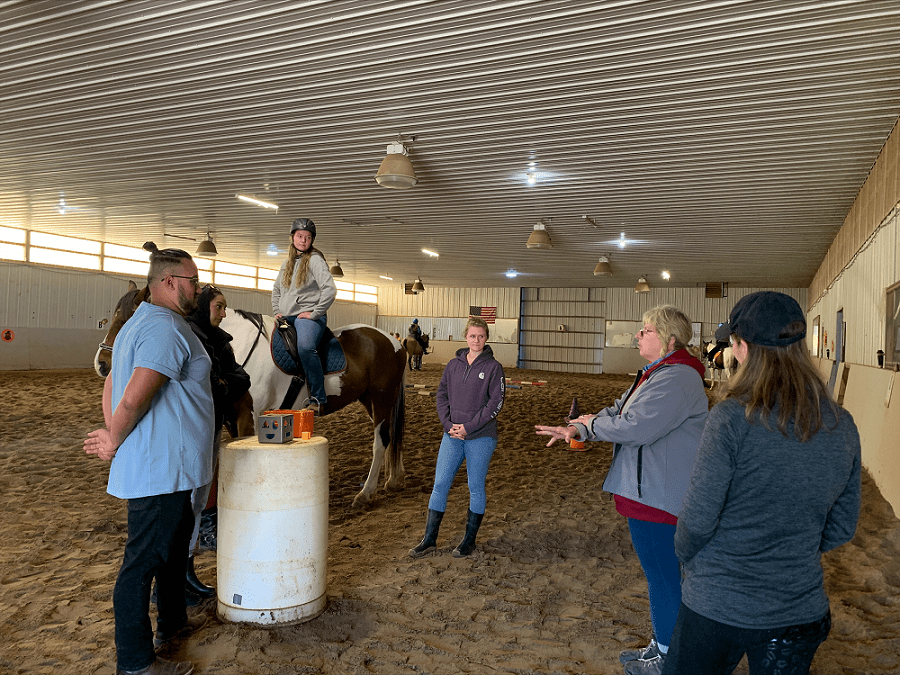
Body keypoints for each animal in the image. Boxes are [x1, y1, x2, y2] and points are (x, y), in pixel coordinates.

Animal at [96, 282, 408, 510]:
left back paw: (366, 493)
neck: (236, 345)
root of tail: (392, 341)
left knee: (381, 441)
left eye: (129, 320)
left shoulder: (249, 417)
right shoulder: (232, 418)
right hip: (371, 399)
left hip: (381, 397)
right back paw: (394, 479)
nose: (102, 363)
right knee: (391, 435)